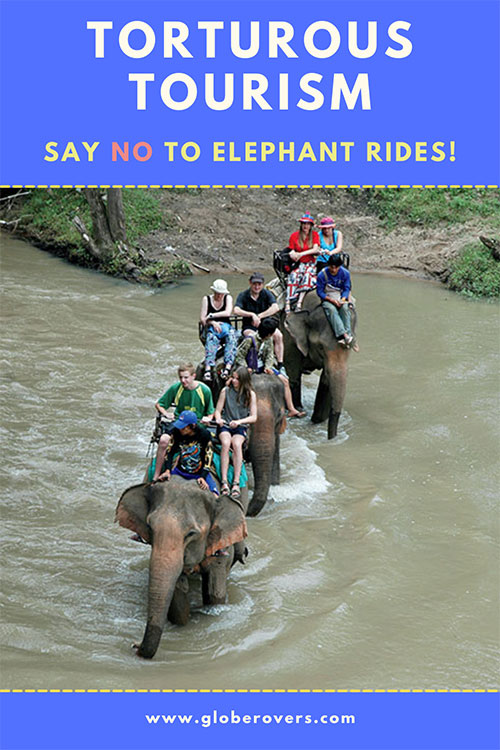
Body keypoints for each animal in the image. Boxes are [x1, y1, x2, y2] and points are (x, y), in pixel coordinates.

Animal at [115, 476, 248, 659]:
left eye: (191, 534)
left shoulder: (220, 546)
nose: (135, 645)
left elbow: (215, 593)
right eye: (149, 527)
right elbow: (178, 602)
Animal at [282, 290, 357, 439]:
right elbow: (293, 377)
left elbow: (326, 383)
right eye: (321, 347)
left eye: (351, 347)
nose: (331, 438)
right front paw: (299, 412)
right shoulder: (289, 338)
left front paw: (317, 420)